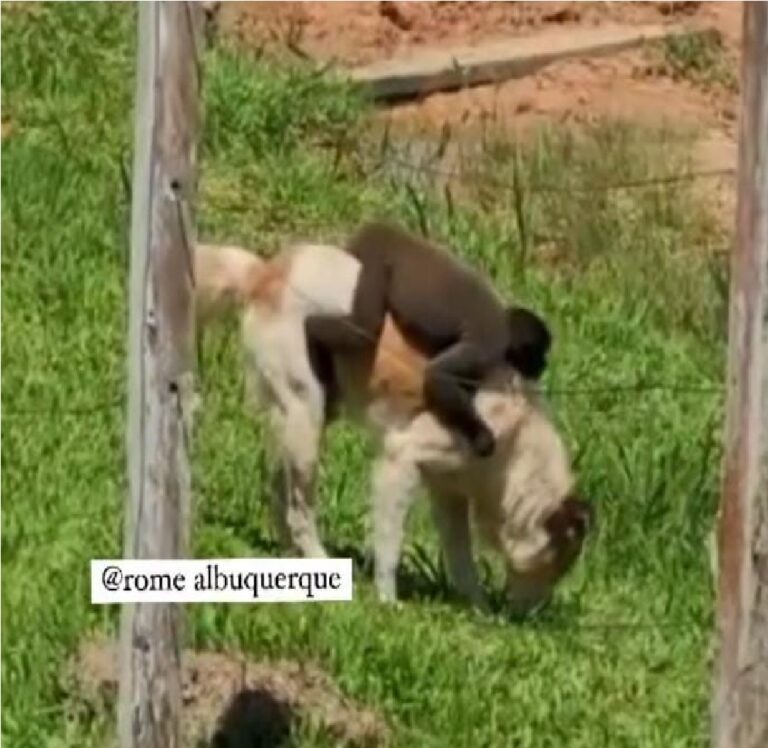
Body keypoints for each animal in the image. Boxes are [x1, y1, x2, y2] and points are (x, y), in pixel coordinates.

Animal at [304, 220, 552, 457]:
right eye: (538, 353)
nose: (543, 365)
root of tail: (384, 228)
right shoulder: (488, 344)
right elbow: (437, 375)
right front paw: (481, 438)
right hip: (377, 255)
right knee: (363, 329)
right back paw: (310, 330)